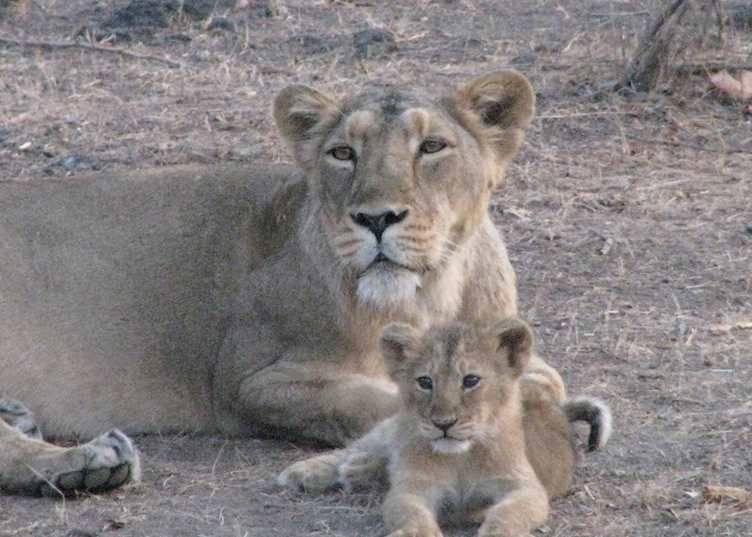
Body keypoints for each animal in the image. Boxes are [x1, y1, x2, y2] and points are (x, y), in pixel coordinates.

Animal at [0, 71, 565, 496]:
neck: (426, 298)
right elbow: (375, 401)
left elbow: (539, 380)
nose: (376, 218)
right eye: (343, 153)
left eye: (432, 147)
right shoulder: (248, 383)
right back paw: (90, 461)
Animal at [278, 320, 612, 537]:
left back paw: (359, 471)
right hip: (393, 427)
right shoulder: (413, 488)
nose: (443, 424)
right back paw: (311, 472)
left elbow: (506, 514)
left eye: (471, 380)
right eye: (425, 382)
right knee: (358, 447)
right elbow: (412, 514)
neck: (460, 458)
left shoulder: (525, 487)